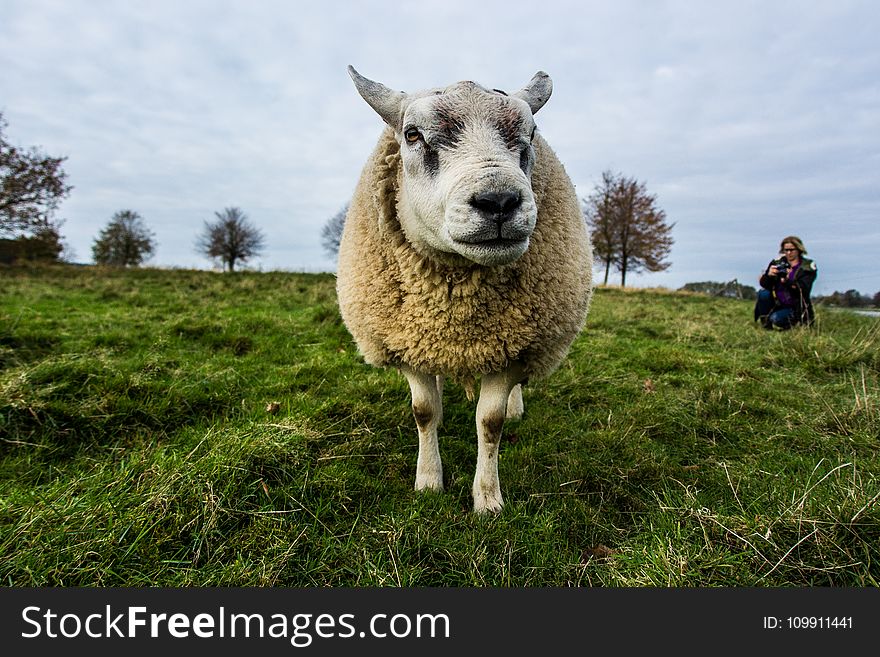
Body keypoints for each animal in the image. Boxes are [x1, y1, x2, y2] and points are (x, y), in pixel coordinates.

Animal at [336, 66, 592, 512]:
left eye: (531, 133)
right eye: (412, 134)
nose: (499, 200)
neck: (455, 302)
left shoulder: (512, 348)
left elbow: (490, 423)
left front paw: (488, 499)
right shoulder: (407, 340)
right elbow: (424, 412)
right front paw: (428, 482)